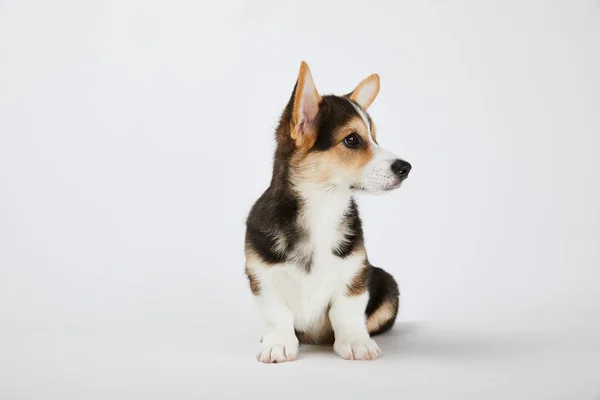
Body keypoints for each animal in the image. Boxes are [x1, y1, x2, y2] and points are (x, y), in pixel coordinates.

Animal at [245, 61, 412, 362]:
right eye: (352, 140)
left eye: (375, 137)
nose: (406, 168)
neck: (322, 205)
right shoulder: (261, 275)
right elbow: (277, 314)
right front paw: (277, 344)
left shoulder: (355, 273)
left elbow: (346, 311)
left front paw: (356, 342)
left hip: (386, 281)